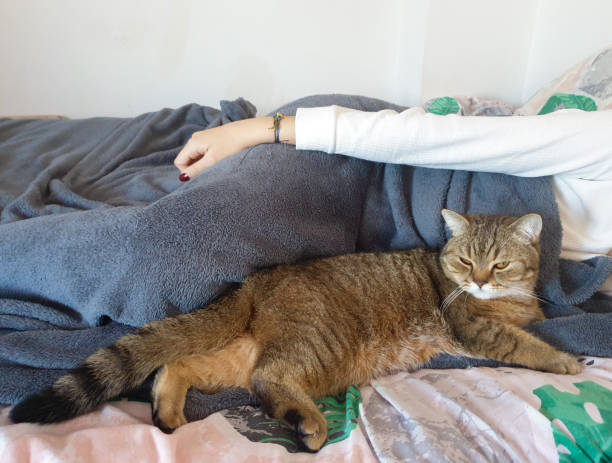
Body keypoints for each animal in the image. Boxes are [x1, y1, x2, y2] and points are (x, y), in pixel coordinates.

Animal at [10, 210, 584, 454]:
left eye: (500, 264)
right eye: (466, 261)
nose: (480, 281)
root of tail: (256, 280)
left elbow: (533, 326)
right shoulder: (477, 331)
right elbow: (528, 344)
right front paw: (565, 360)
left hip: (240, 354)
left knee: (178, 363)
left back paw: (169, 413)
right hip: (316, 345)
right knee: (270, 380)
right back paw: (308, 423)